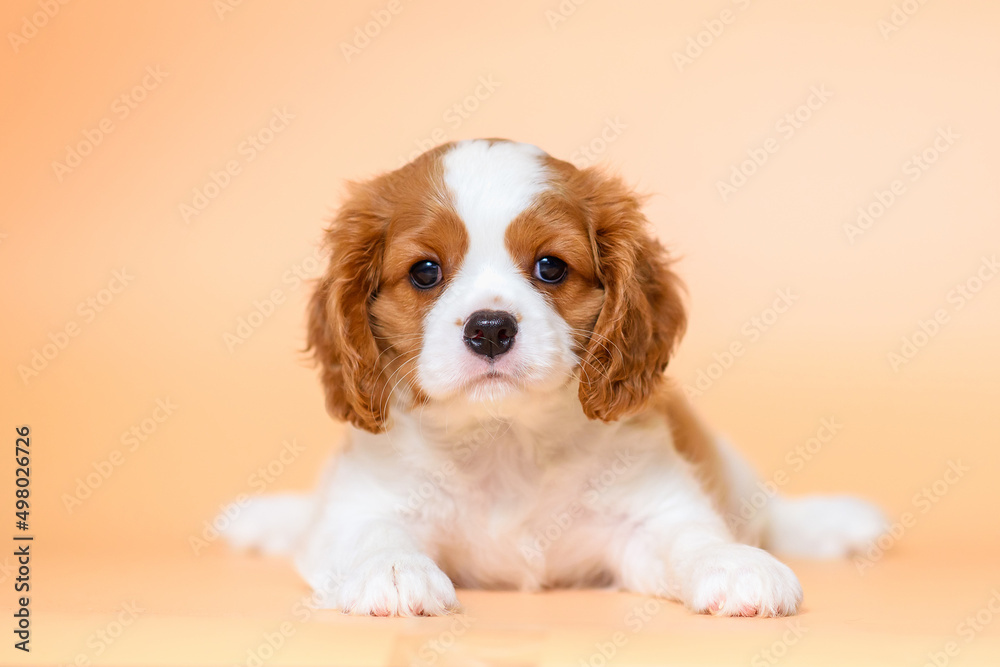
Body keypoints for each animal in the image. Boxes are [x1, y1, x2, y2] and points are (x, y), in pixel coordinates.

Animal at [225, 138, 884, 620]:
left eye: (550, 267)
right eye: (425, 272)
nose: (490, 329)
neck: (504, 439)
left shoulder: (649, 515)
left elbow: (691, 536)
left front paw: (734, 563)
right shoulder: (360, 505)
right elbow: (370, 534)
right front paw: (393, 571)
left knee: (771, 513)